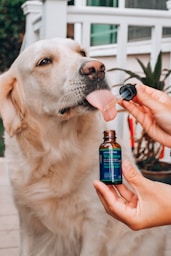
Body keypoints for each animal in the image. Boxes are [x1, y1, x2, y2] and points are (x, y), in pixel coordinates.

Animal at [0, 37, 168, 255]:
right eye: (44, 61)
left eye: (81, 52)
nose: (96, 68)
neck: (57, 149)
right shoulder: (27, 221)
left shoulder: (94, 223)